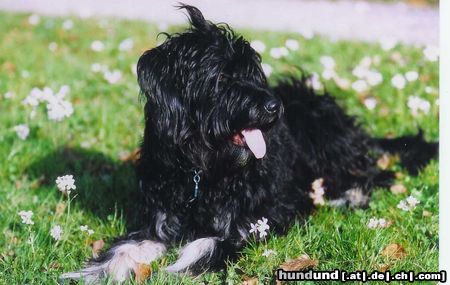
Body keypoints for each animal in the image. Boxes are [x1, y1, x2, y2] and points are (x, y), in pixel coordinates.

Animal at [61, 5, 438, 282]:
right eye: (221, 77)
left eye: (252, 72)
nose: (273, 107)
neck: (202, 170)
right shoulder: (157, 219)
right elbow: (124, 248)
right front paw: (93, 272)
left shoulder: (261, 215)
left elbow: (209, 242)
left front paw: (177, 268)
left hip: (325, 136)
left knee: (373, 174)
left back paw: (349, 194)